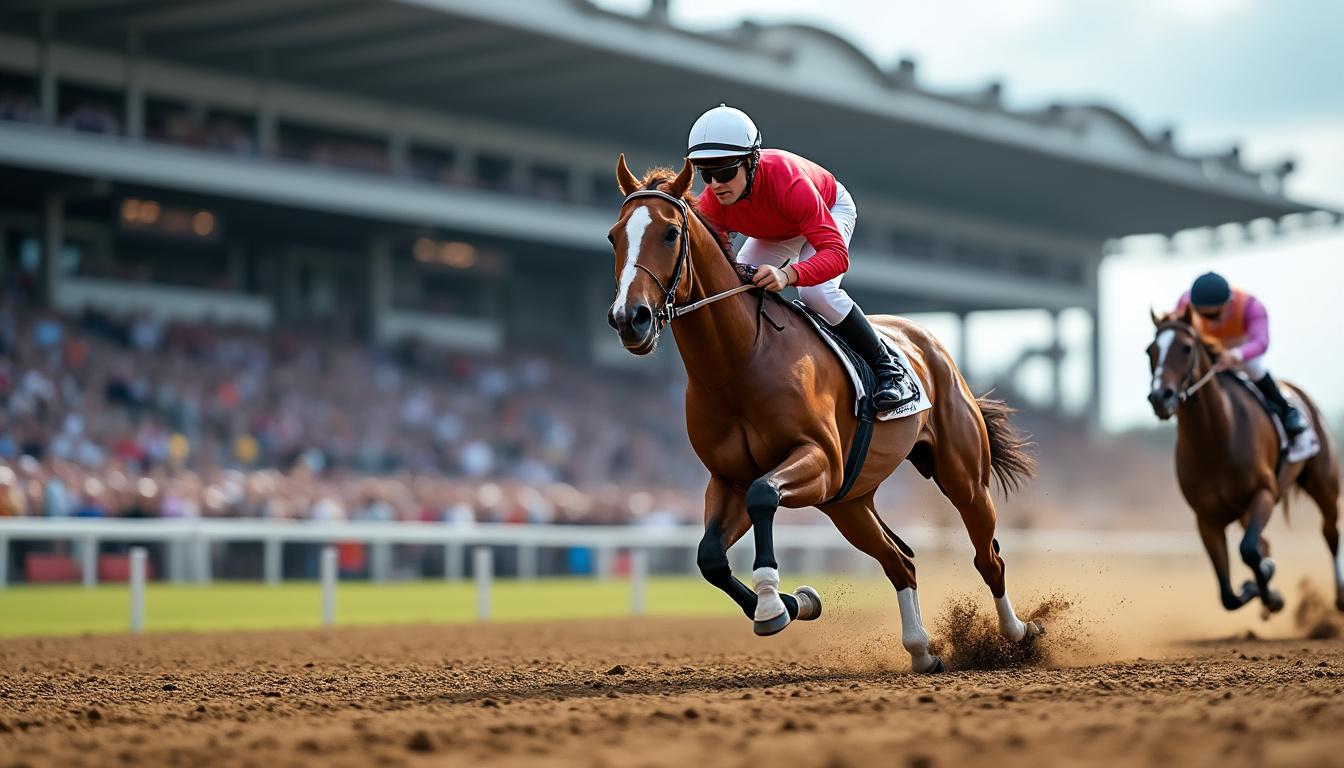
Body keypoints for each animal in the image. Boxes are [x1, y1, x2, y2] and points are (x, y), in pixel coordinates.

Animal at [605, 156, 1043, 673]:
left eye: (670, 233)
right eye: (614, 236)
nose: (629, 319)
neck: (740, 361)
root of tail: (930, 343)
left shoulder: (818, 460)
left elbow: (764, 496)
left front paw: (775, 602)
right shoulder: (728, 478)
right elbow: (710, 556)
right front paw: (797, 602)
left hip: (962, 478)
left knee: (987, 557)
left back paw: (1018, 633)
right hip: (848, 502)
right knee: (900, 562)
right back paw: (920, 650)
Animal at [1147, 306, 1343, 613]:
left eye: (1186, 347)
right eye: (1150, 351)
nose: (1160, 397)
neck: (1215, 440)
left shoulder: (1264, 492)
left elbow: (1249, 551)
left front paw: (1269, 589)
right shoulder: (1206, 519)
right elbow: (1228, 595)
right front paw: (1262, 588)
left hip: (1323, 484)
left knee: (1330, 532)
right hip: (1242, 512)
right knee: (1265, 542)